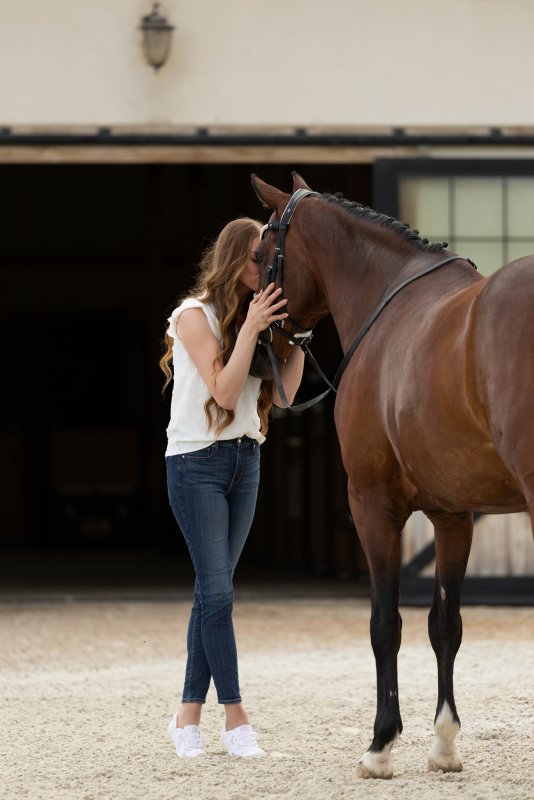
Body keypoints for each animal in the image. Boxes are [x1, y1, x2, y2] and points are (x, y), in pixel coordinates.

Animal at [251, 171, 534, 779]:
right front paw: (444, 744)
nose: (261, 355)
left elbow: (386, 624)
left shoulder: (371, 504)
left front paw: (381, 745)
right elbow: (445, 625)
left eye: (261, 256)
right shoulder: (453, 516)